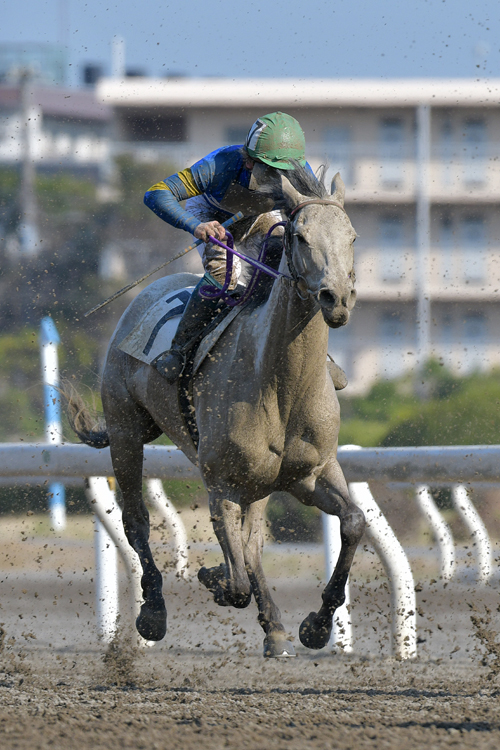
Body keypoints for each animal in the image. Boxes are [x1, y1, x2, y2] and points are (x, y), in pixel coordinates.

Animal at [68, 166, 366, 656]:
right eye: (300, 236)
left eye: (352, 236)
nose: (337, 299)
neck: (281, 387)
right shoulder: (222, 483)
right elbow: (236, 581)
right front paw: (214, 578)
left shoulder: (313, 473)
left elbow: (354, 522)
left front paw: (317, 625)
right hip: (127, 431)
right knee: (136, 521)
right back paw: (153, 612)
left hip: (258, 482)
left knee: (252, 544)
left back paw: (275, 627)